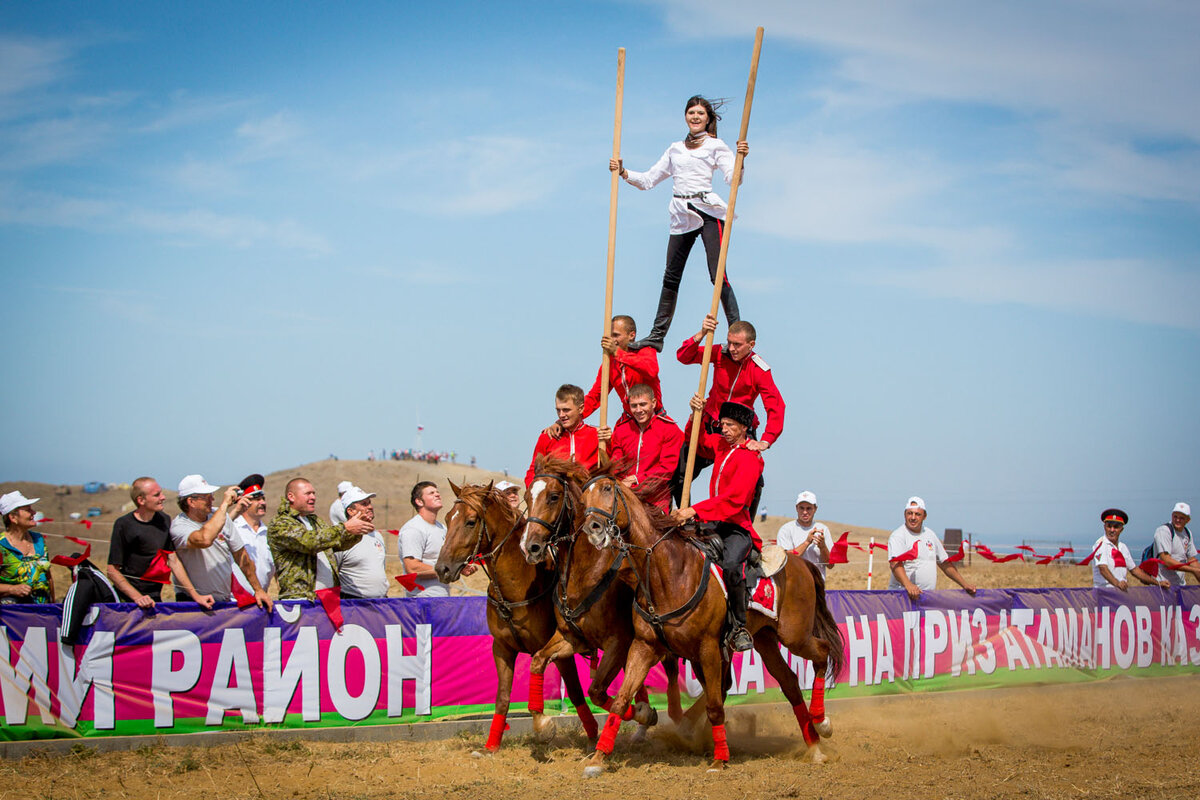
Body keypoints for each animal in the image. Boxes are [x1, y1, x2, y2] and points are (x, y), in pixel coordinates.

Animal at [434, 482, 597, 753]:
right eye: (447, 518)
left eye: (470, 521)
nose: (442, 569)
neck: (517, 587)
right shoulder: (502, 649)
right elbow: (502, 698)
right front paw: (491, 745)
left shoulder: (560, 651)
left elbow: (574, 691)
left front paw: (588, 735)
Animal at [520, 455, 681, 738]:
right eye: (528, 497)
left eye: (553, 496)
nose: (531, 547)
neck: (587, 572)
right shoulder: (570, 638)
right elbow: (538, 661)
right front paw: (541, 721)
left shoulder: (618, 643)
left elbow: (596, 691)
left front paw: (644, 713)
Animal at [578, 472, 844, 772]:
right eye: (583, 499)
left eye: (607, 489)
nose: (593, 528)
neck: (671, 571)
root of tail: (801, 563)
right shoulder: (644, 646)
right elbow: (621, 700)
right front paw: (599, 757)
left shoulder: (708, 650)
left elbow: (715, 706)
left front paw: (720, 759)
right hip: (765, 640)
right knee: (789, 682)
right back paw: (814, 746)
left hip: (794, 635)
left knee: (822, 652)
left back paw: (822, 721)